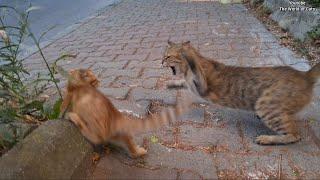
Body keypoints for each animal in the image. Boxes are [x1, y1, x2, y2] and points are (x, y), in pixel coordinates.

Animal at [60, 68, 190, 157]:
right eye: (95, 80)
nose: (99, 82)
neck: (77, 83)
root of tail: (116, 115)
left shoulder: (69, 94)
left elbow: (63, 105)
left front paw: (60, 114)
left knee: (95, 137)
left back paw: (72, 117)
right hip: (123, 135)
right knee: (132, 150)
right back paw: (139, 151)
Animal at [164, 40, 318, 145]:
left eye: (167, 56)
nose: (161, 62)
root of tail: (305, 75)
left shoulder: (202, 85)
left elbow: (194, 67)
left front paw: (188, 56)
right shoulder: (192, 84)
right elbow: (183, 82)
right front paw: (171, 84)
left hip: (265, 105)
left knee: (295, 135)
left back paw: (267, 138)